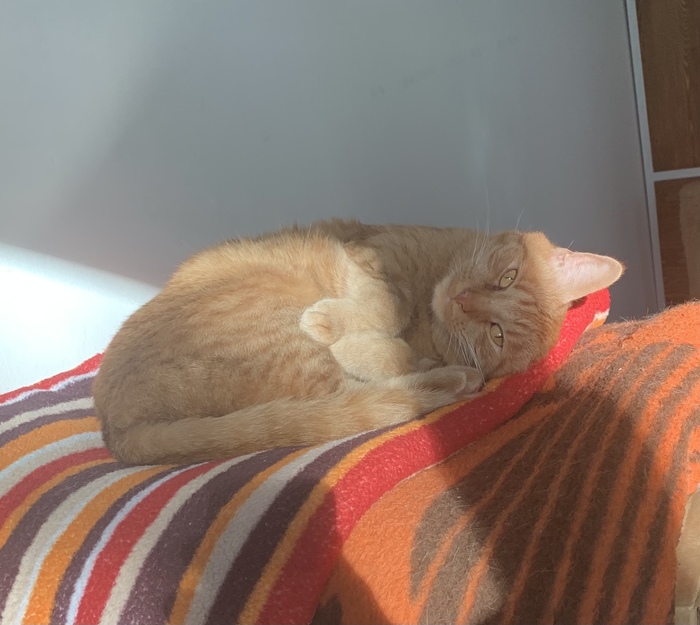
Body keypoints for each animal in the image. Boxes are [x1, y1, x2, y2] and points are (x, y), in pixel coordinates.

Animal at [93, 220, 624, 464]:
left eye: (496, 334)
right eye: (508, 277)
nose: (464, 300)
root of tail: (114, 427)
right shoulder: (372, 256)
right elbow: (387, 304)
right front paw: (340, 322)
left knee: (349, 398)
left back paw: (446, 378)